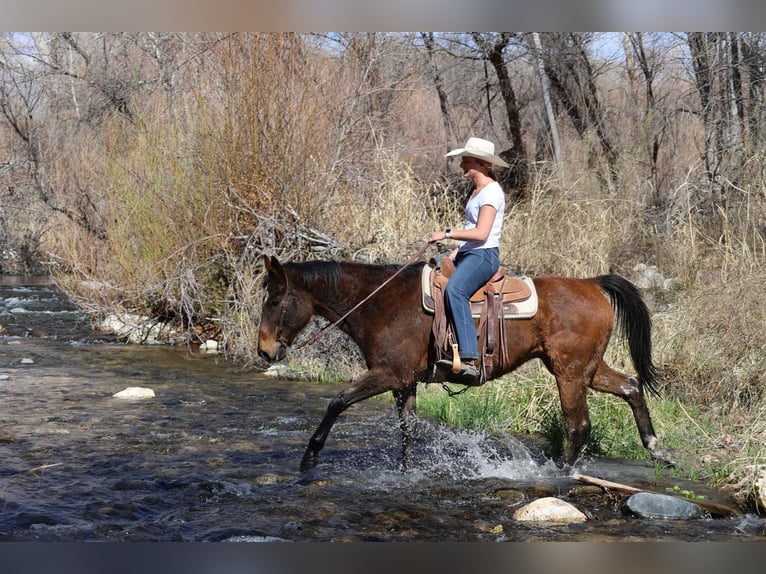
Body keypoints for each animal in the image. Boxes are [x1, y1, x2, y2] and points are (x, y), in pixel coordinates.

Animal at [256, 254, 674, 471]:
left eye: (275, 300)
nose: (263, 351)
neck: (380, 304)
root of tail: (592, 283)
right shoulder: (404, 382)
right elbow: (407, 430)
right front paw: (406, 472)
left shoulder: (387, 374)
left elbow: (337, 402)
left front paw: (310, 456)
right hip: (587, 368)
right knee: (631, 387)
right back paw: (656, 448)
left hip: (569, 373)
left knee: (578, 426)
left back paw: (557, 472)